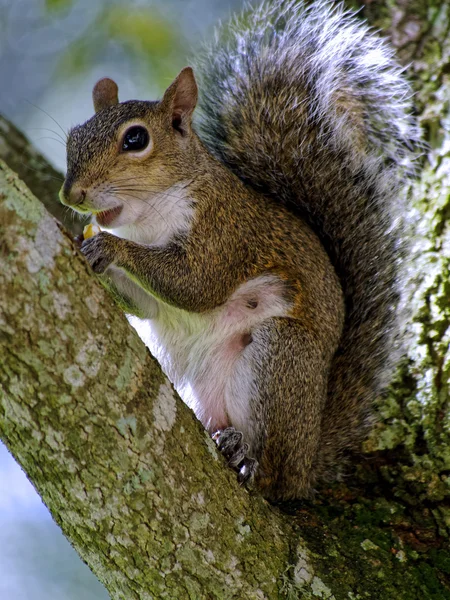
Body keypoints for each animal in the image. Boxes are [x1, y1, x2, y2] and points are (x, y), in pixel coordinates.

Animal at [58, 0, 420, 500]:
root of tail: (308, 463)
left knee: (273, 473)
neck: (146, 221)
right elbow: (147, 307)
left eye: (135, 139)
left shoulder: (225, 233)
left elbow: (197, 287)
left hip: (280, 359)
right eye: (73, 137)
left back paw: (248, 458)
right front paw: (86, 244)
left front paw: (111, 248)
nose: (72, 195)